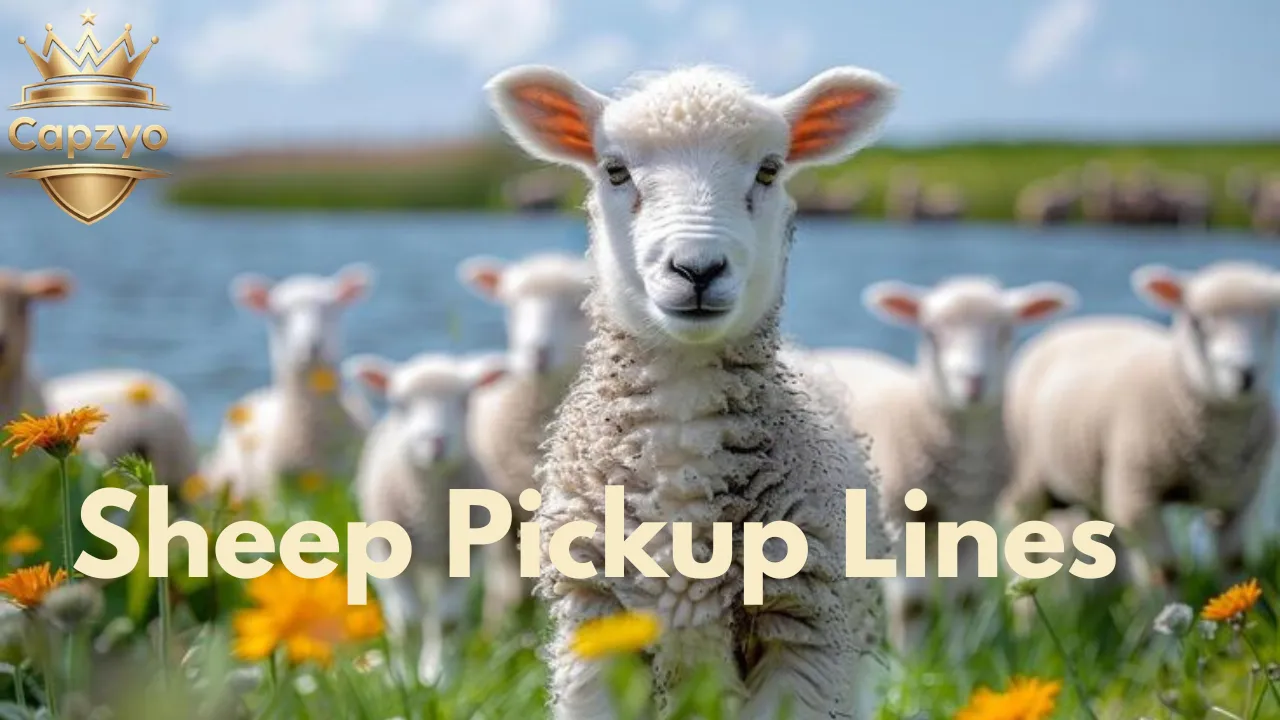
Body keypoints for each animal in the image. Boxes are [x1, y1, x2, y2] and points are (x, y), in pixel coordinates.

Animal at [345, 351, 507, 684]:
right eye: (398, 403)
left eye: (466, 399)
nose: (435, 440)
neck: (428, 508)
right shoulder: (389, 554)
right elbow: (407, 621)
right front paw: (405, 679)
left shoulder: (464, 556)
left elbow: (447, 621)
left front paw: (438, 678)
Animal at [456, 251, 592, 623]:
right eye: (513, 304)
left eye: (578, 305)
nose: (537, 352)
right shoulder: (502, 507)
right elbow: (507, 586)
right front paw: (499, 624)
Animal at [806, 277, 1077, 651]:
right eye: (931, 333)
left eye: (1005, 332)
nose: (973, 381)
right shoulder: (901, 517)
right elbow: (913, 605)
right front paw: (911, 659)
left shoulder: (976, 522)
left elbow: (964, 598)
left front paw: (963, 656)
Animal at [1002, 261, 1280, 588]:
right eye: (1196, 322)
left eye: (1273, 320)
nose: (1245, 374)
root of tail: (1084, 323)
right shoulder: (1136, 495)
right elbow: (1166, 569)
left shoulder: (1240, 498)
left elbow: (1233, 562)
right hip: (1027, 483)